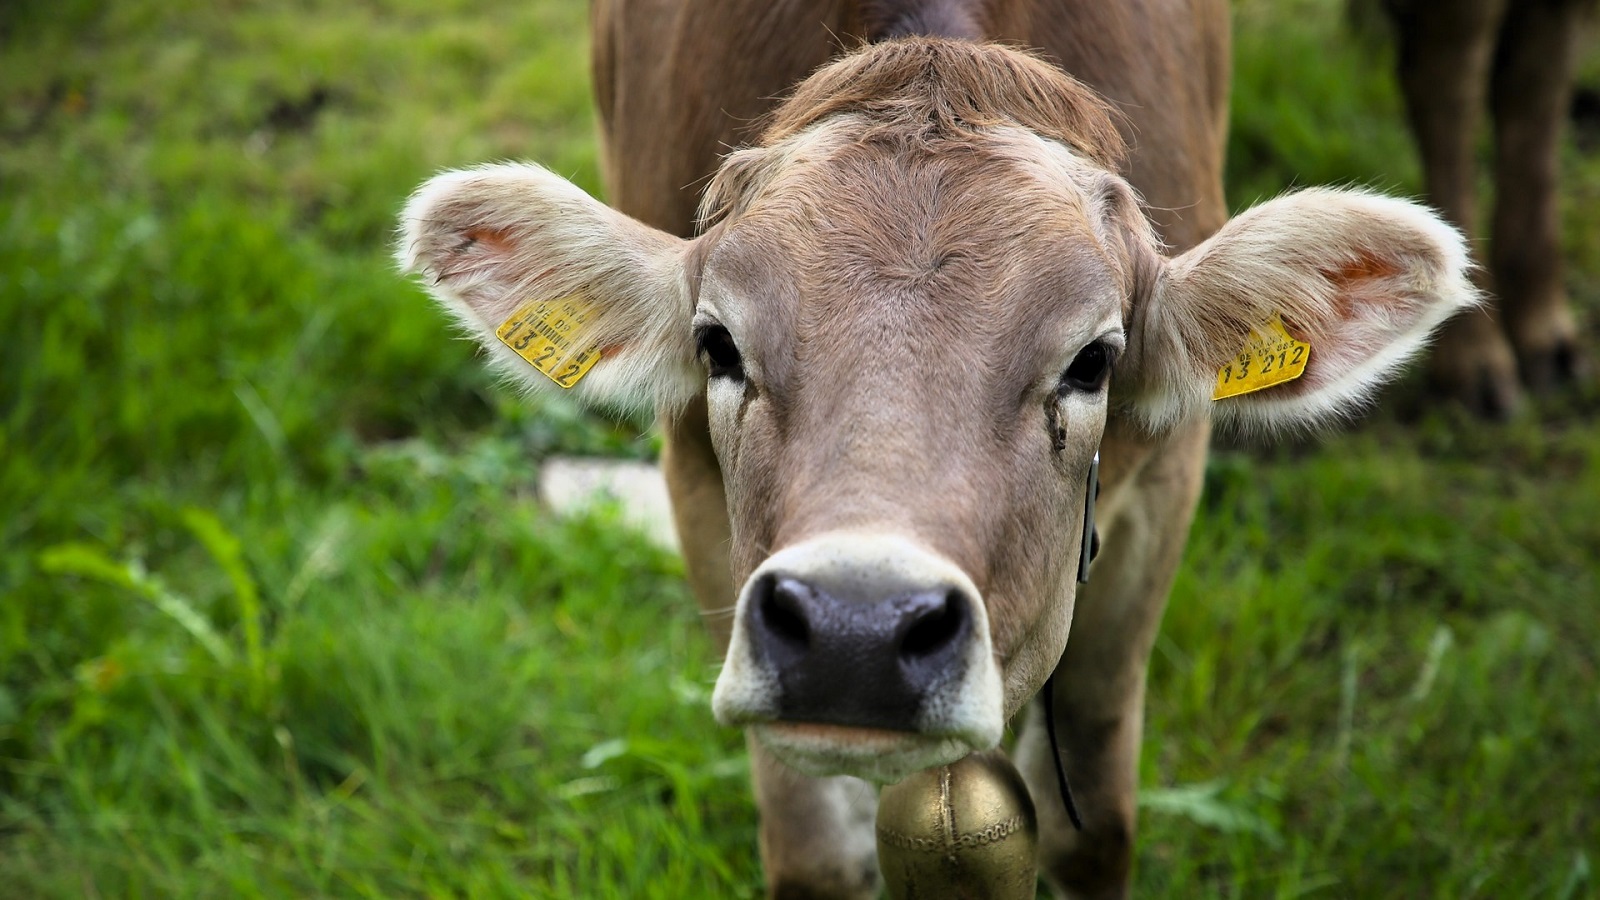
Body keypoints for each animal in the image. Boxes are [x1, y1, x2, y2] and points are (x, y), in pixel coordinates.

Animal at [398, 3, 1476, 896]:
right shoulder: (695, 493)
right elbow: (815, 857)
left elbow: (1093, 829)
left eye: (1093, 362)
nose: (855, 630)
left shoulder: (1165, 488)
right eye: (717, 345)